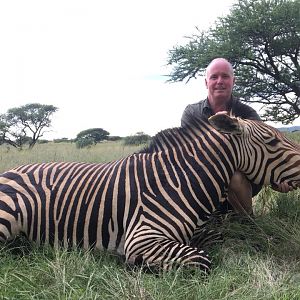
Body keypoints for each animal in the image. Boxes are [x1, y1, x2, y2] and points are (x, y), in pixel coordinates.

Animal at [0, 113, 298, 272]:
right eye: (272, 141)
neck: (180, 181)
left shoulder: (196, 231)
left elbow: (220, 238)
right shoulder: (142, 237)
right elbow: (202, 260)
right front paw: (139, 267)